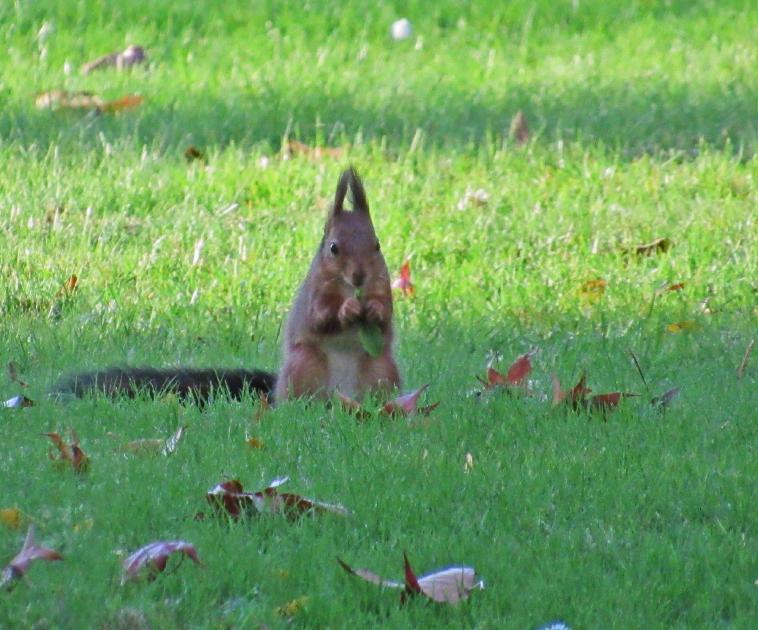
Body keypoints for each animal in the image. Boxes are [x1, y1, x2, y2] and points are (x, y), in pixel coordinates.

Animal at [55, 168, 400, 404]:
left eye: (378, 245)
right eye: (333, 248)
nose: (359, 276)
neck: (347, 286)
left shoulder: (383, 287)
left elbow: (385, 319)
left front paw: (372, 309)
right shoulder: (315, 293)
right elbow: (320, 318)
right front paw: (348, 309)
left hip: (382, 371)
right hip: (304, 366)